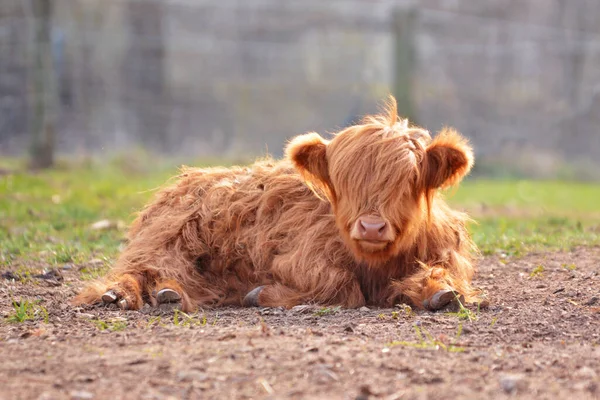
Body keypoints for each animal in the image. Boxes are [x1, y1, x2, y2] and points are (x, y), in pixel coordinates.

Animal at [75, 97, 480, 312]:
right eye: (343, 181)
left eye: (409, 179)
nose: (371, 226)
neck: (376, 265)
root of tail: (188, 178)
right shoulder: (299, 258)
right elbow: (341, 286)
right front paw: (263, 294)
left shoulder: (444, 254)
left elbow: (444, 279)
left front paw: (442, 293)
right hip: (166, 239)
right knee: (141, 268)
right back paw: (124, 294)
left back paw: (168, 293)